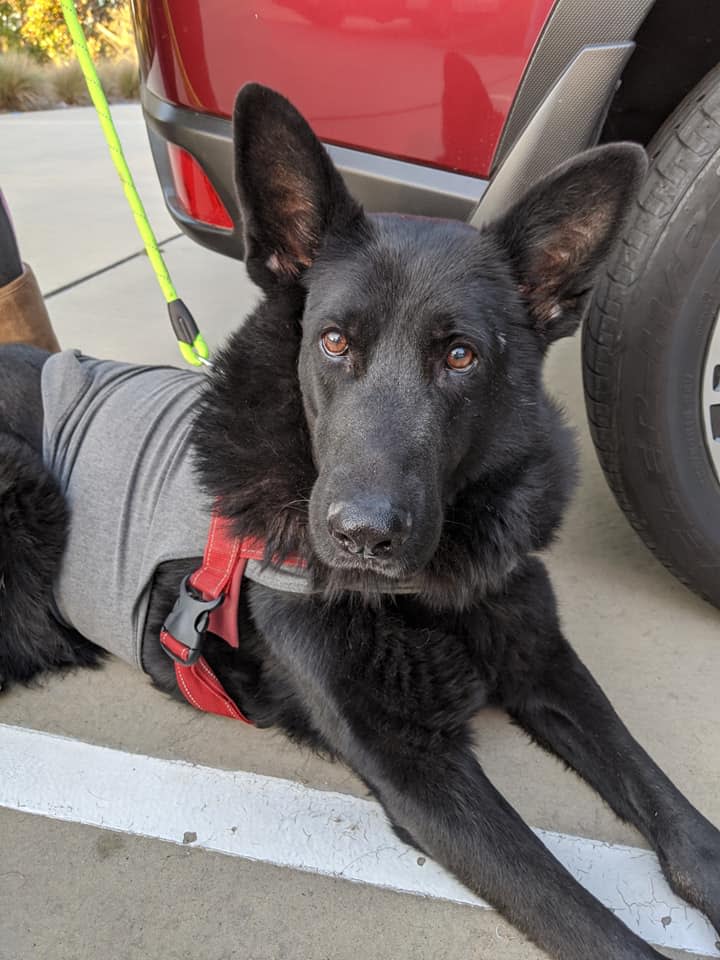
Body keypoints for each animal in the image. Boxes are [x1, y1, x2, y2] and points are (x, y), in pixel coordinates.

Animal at [1, 84, 720, 960]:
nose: (363, 538)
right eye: (335, 342)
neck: (429, 593)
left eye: (460, 356)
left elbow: (670, 807)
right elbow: (582, 916)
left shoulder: (542, 663)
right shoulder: (418, 773)